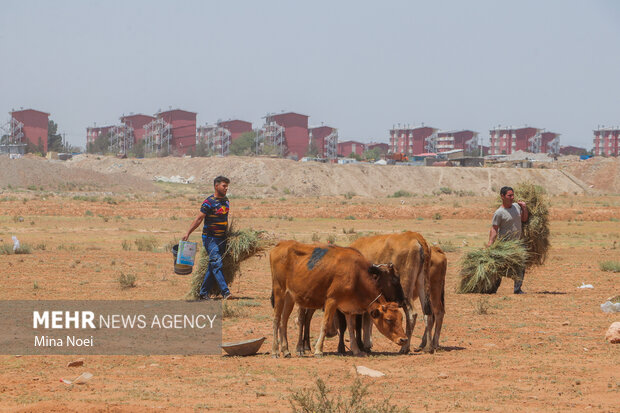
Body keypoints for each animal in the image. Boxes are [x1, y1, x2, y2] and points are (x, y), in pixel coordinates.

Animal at [270, 240, 406, 356]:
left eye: (401, 318)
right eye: (389, 319)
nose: (403, 339)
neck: (356, 274)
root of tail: (279, 245)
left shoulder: (348, 308)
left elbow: (351, 328)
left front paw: (356, 350)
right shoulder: (332, 301)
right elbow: (325, 324)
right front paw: (319, 350)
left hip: (290, 297)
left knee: (284, 321)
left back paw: (286, 350)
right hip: (279, 292)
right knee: (277, 319)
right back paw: (277, 350)